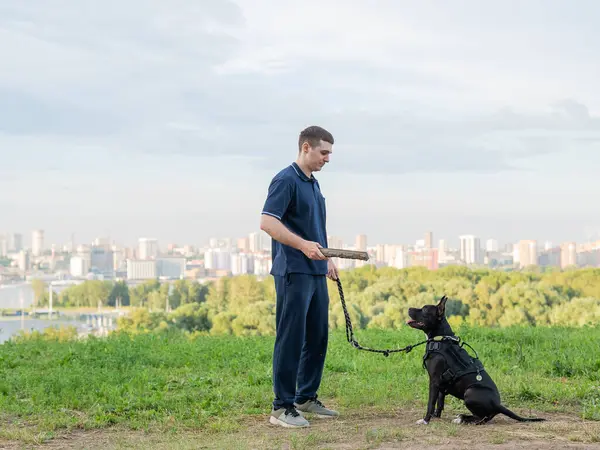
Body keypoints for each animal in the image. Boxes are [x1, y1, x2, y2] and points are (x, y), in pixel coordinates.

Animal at [408, 296, 544, 426]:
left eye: (424, 309)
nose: (409, 308)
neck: (440, 339)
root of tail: (498, 405)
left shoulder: (434, 381)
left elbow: (431, 403)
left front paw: (425, 420)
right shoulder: (441, 384)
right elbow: (440, 402)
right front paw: (436, 416)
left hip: (470, 392)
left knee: (483, 418)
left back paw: (463, 420)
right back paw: (461, 417)